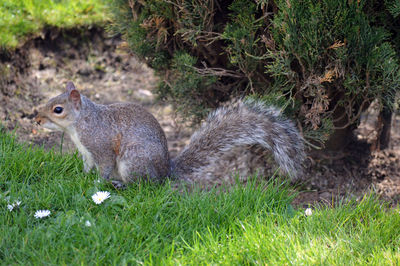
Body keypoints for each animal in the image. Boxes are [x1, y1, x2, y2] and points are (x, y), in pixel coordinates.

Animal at [36, 82, 304, 188]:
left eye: (57, 109)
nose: (36, 120)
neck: (78, 126)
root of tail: (165, 171)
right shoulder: (86, 154)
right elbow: (87, 167)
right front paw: (81, 177)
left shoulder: (101, 147)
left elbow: (104, 167)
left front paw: (97, 184)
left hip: (134, 160)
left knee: (142, 184)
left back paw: (122, 184)